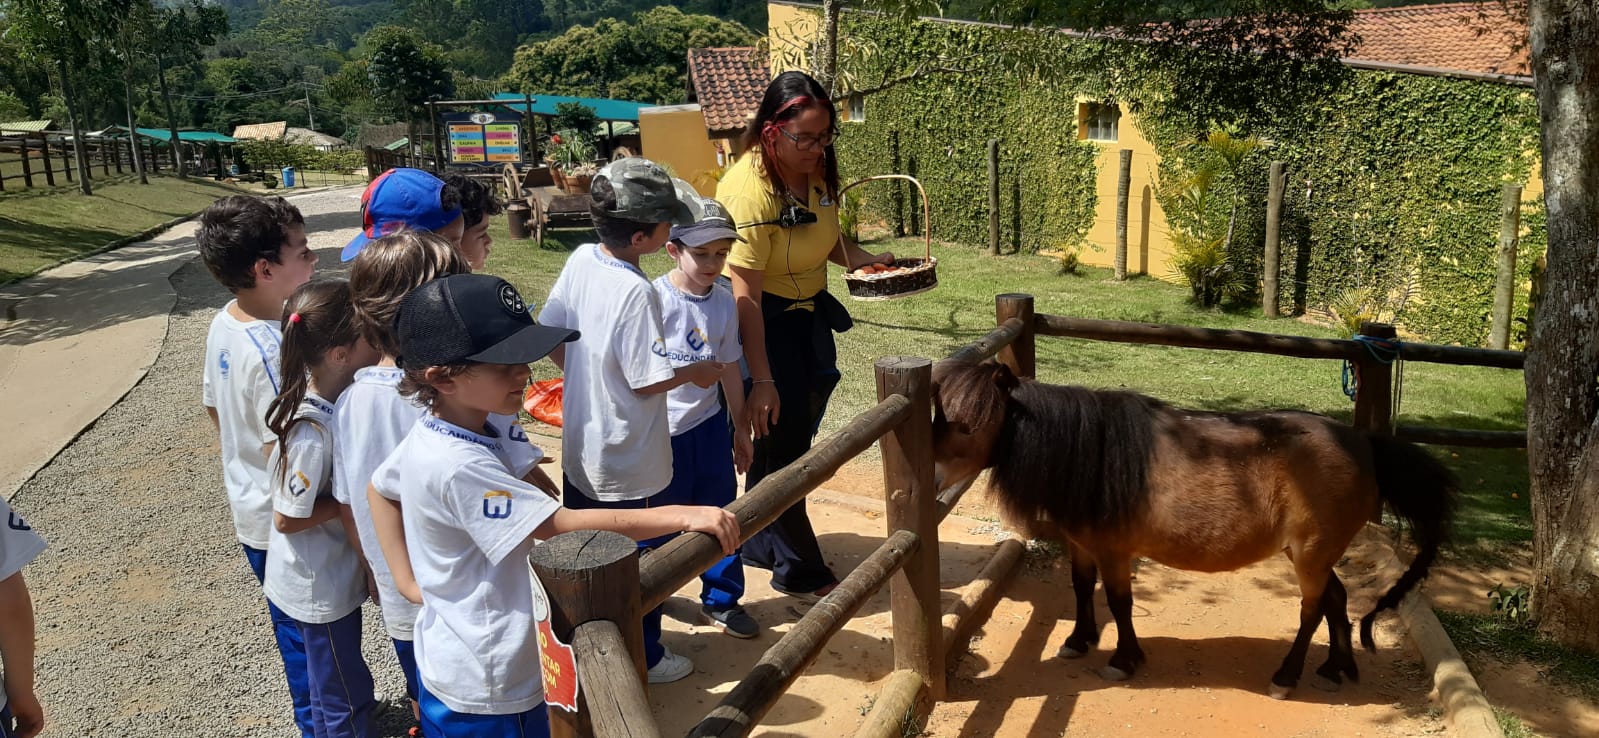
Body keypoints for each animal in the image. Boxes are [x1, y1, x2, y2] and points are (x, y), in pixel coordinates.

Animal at [929, 358, 1457, 699]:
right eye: (939, 415)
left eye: (972, 422)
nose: (932, 476)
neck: (1092, 454)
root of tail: (1364, 444)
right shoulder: (1081, 544)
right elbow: (1081, 588)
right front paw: (1079, 641)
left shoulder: (1115, 551)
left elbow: (1119, 602)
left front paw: (1124, 659)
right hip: (1310, 553)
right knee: (1337, 598)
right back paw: (1335, 667)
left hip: (1310, 554)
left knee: (1311, 610)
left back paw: (1288, 676)